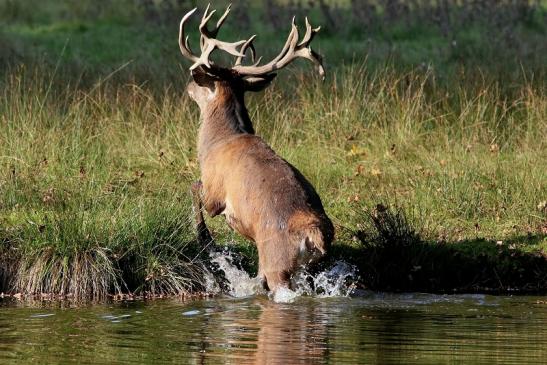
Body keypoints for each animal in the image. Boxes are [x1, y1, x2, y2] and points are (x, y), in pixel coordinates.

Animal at [181, 4, 334, 292]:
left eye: (200, 79)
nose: (188, 85)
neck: (219, 140)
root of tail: (313, 233)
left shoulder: (215, 191)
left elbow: (194, 187)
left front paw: (204, 239)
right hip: (313, 266)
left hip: (276, 259)